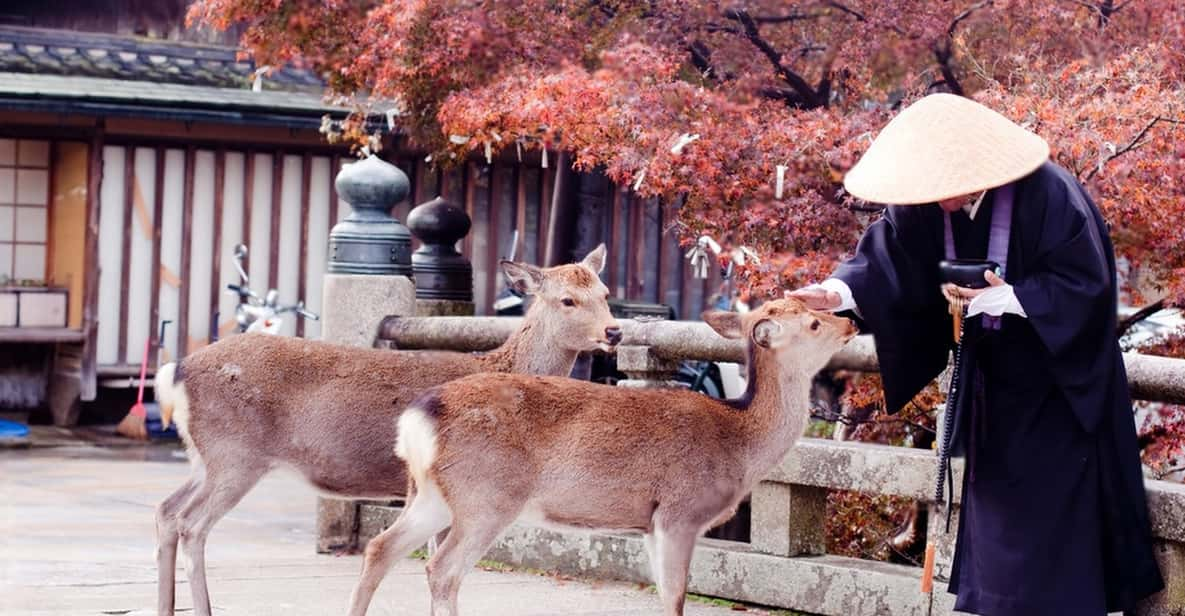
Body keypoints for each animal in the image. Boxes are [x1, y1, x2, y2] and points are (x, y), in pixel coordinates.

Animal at [150, 244, 620, 616]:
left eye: (605, 293)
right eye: (567, 300)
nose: (614, 331)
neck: (505, 363)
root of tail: (178, 372)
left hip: (204, 456)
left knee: (167, 510)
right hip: (235, 455)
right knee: (192, 524)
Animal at [346, 298, 857, 616]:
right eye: (813, 322)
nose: (851, 321)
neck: (741, 440)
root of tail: (417, 418)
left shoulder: (650, 523)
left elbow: (663, 593)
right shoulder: (680, 511)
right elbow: (676, 595)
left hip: (434, 494)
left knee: (380, 547)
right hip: (486, 496)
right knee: (442, 569)